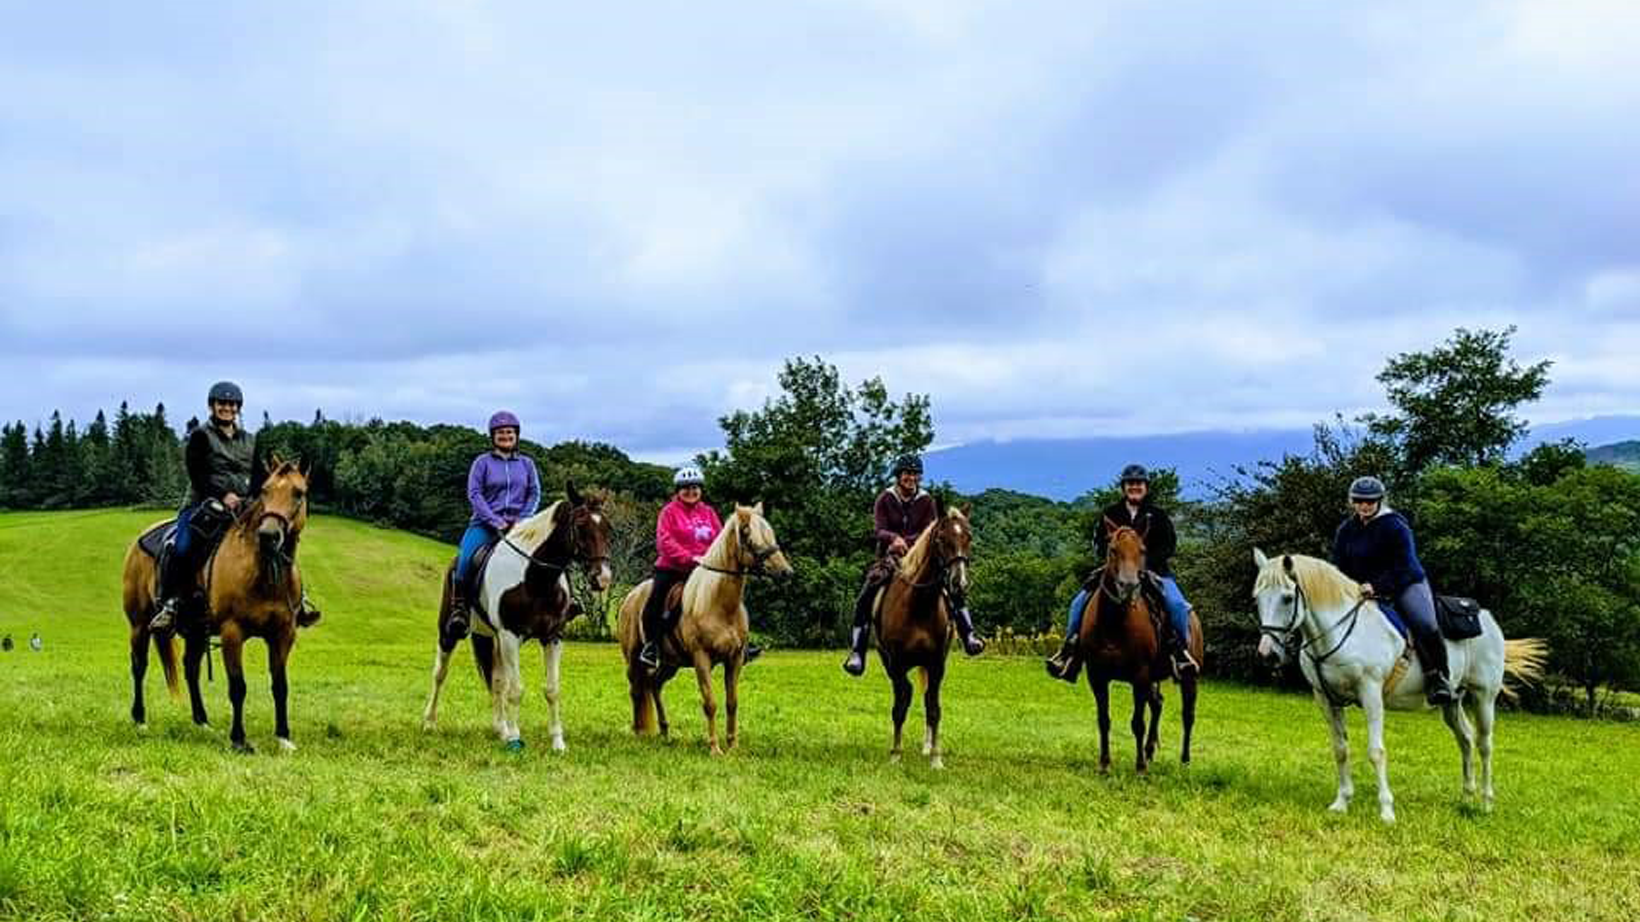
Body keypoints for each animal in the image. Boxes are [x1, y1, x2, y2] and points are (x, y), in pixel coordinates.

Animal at [119, 456, 311, 751]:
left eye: (298, 493)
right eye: (265, 490)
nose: (268, 535)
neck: (262, 572)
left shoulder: (283, 634)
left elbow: (280, 686)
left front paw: (283, 738)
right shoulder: (233, 632)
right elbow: (238, 687)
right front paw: (239, 740)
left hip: (196, 632)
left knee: (191, 669)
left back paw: (202, 721)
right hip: (139, 625)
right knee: (139, 666)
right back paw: (139, 719)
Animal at [423, 485, 616, 751]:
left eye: (607, 527)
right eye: (580, 525)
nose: (602, 578)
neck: (536, 578)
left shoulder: (552, 637)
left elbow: (551, 689)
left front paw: (557, 742)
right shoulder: (510, 636)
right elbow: (516, 690)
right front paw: (515, 739)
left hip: (496, 640)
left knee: (496, 680)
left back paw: (500, 728)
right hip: (450, 632)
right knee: (440, 673)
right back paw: (430, 722)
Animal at [616, 502, 790, 754]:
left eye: (771, 533)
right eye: (749, 536)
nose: (786, 572)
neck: (720, 605)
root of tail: (630, 597)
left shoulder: (735, 659)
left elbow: (732, 702)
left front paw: (733, 746)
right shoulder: (702, 659)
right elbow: (710, 703)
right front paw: (715, 748)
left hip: (670, 663)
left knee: (654, 684)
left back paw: (664, 731)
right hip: (633, 659)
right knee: (637, 690)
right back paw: (639, 731)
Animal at [872, 498, 970, 764]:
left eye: (968, 537)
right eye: (941, 539)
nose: (960, 584)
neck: (919, 604)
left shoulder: (936, 663)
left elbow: (933, 707)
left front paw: (936, 757)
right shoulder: (896, 663)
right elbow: (900, 705)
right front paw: (896, 754)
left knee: (926, 697)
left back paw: (927, 746)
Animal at [1252, 544, 1548, 817]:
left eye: (1287, 598)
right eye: (1257, 599)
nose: (1268, 655)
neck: (1337, 633)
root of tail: (1487, 618)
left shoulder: (1371, 693)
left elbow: (1376, 751)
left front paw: (1386, 810)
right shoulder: (1326, 699)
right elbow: (1340, 749)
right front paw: (1341, 802)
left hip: (1483, 696)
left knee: (1484, 745)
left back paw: (1486, 803)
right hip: (1452, 700)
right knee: (1465, 739)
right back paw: (1466, 798)